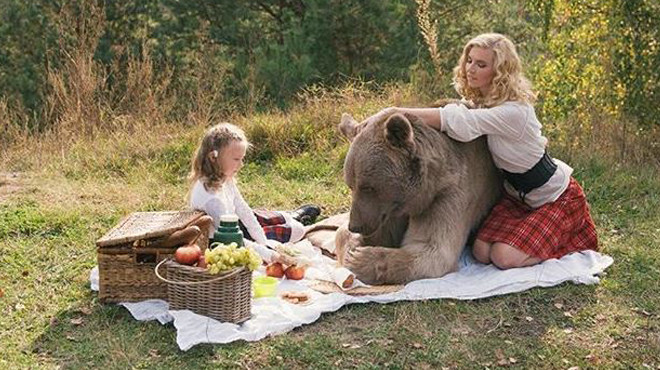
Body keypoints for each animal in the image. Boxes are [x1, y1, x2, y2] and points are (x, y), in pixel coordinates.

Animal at [338, 111, 502, 284]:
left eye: (368, 187)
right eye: (351, 185)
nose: (355, 226)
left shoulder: (448, 194)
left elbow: (432, 247)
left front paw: (360, 259)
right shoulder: (388, 211)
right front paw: (352, 247)